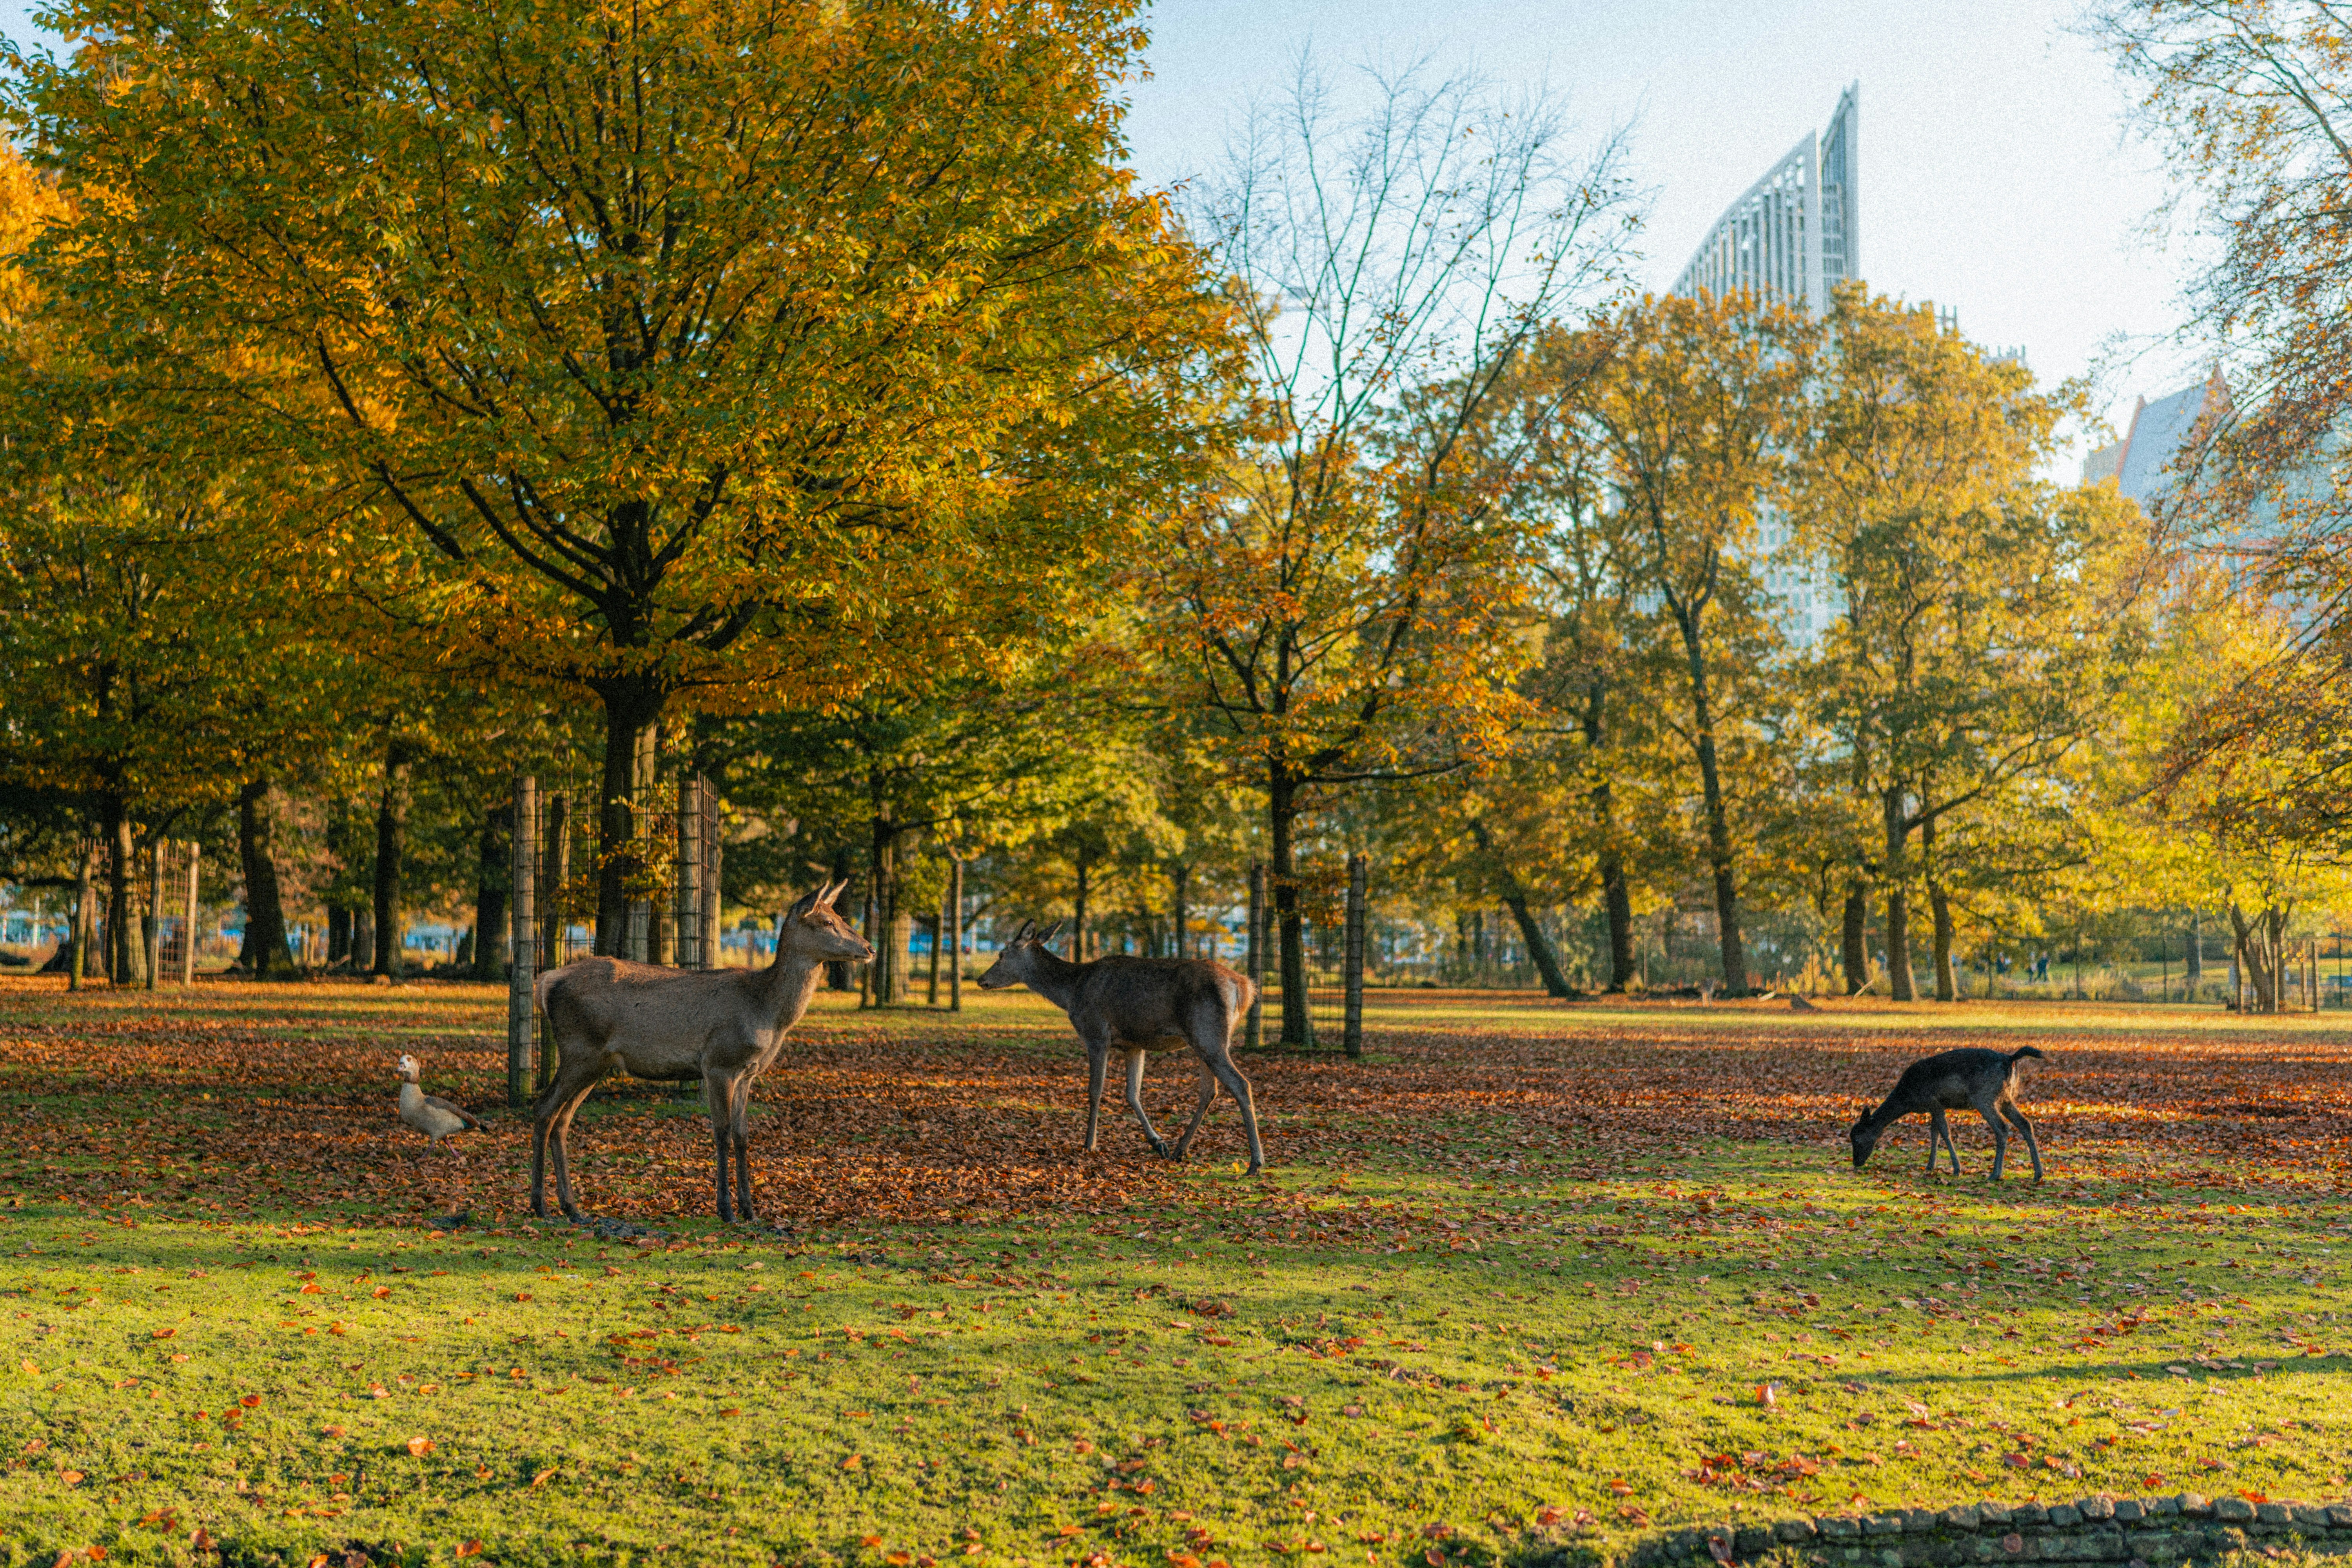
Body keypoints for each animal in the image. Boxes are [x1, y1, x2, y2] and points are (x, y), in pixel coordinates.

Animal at [529, 881, 872, 1224]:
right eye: (827, 922)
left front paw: (751, 1211)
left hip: (595, 1063)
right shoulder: (718, 1062)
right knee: (544, 1109)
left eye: (840, 917)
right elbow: (722, 1132)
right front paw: (726, 1209)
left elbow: (742, 1135)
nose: (870, 948)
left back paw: (572, 1208)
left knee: (562, 1119)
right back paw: (540, 1205)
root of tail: (545, 982)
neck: (768, 1013)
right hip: (579, 1050)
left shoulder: (748, 1072)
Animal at [976, 920, 1266, 1174]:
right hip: (1202, 1041)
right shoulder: (1133, 1045)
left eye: (1001, 954)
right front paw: (1158, 1143)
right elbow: (1132, 1093)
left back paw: (1255, 1163)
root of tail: (1244, 987)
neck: (1071, 993)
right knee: (1210, 1091)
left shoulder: (1096, 1034)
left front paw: (1090, 1143)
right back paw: (1180, 1150)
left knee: (1241, 1084)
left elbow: (1095, 1091)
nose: (981, 979)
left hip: (1209, 1034)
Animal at [1849, 1045, 2046, 1182]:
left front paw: (1957, 1169)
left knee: (2002, 1128)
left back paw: (1995, 1174)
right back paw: (2038, 1174)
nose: (1856, 1162)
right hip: (2006, 1099)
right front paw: (1930, 1166)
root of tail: (2011, 1059)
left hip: (1984, 1097)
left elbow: (1944, 1133)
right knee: (2025, 1124)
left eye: (1857, 1138)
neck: (1908, 1099)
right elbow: (1934, 1133)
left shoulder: (1933, 1102)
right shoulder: (1936, 1107)